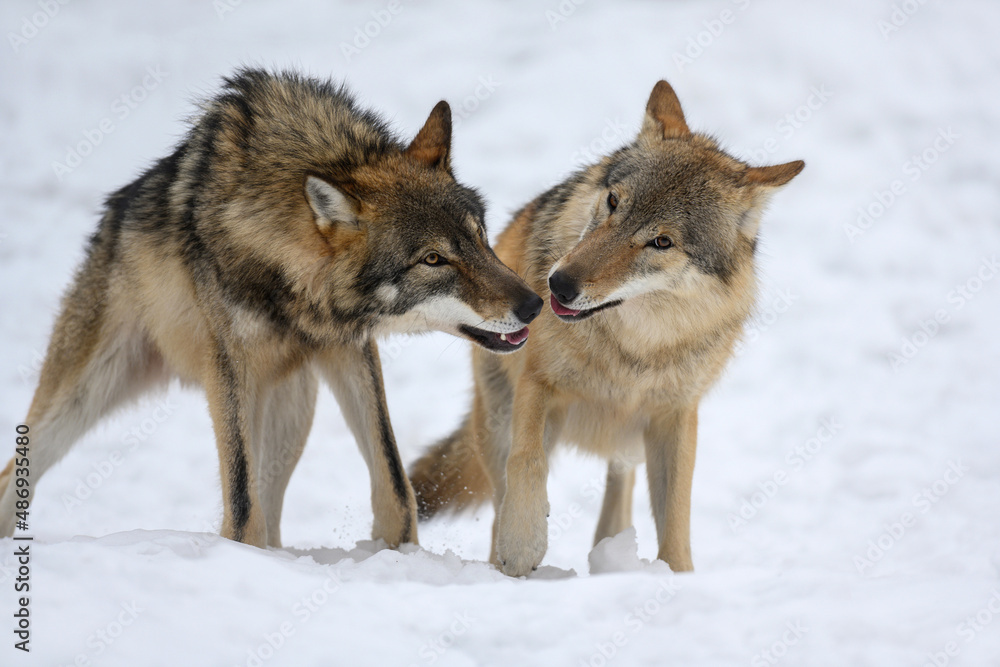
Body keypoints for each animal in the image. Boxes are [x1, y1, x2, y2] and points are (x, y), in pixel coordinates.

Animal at [0, 66, 544, 548]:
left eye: (480, 237)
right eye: (433, 259)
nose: (535, 304)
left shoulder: (350, 350)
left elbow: (394, 483)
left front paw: (402, 553)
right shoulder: (229, 369)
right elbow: (243, 504)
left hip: (291, 408)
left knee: (276, 507)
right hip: (83, 396)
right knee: (15, 475)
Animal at [408, 81, 804, 576]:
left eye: (661, 241)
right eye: (614, 202)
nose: (556, 284)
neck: (632, 349)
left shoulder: (676, 416)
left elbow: (676, 514)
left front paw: (678, 576)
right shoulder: (537, 385)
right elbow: (527, 462)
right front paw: (523, 544)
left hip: (630, 440)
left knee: (619, 486)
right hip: (497, 415)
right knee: (501, 495)